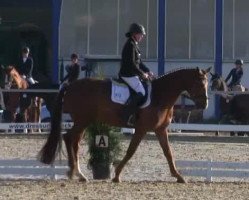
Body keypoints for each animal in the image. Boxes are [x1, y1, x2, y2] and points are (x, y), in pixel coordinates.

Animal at [40, 67, 211, 183]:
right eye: (199, 83)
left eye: (207, 84)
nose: (204, 104)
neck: (160, 95)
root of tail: (70, 85)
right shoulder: (141, 129)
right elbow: (131, 151)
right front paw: (116, 175)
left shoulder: (160, 130)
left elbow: (168, 153)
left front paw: (179, 176)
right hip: (82, 120)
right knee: (68, 138)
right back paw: (73, 172)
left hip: (83, 121)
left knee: (74, 141)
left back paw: (79, 174)